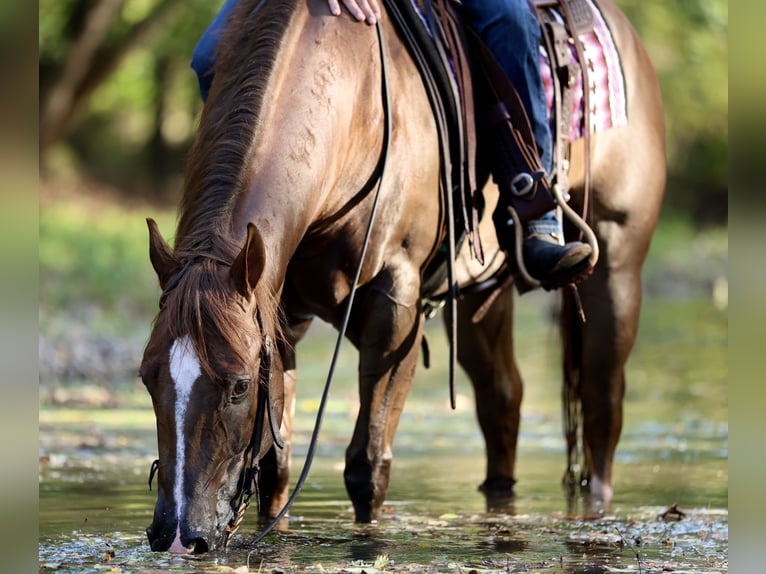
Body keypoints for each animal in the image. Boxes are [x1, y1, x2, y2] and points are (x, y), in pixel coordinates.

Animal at [140, 0, 665, 554]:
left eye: (239, 386)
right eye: (147, 376)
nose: (177, 538)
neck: (355, 112)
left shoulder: (396, 307)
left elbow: (367, 467)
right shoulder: (281, 317)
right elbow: (276, 468)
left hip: (616, 267)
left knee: (602, 409)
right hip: (480, 299)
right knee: (503, 400)